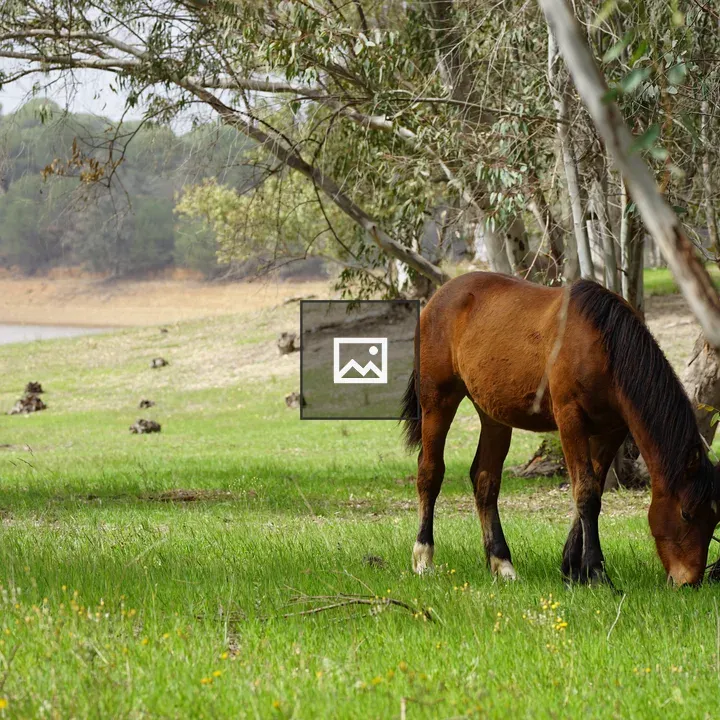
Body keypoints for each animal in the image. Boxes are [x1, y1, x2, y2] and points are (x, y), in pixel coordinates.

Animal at [401, 271, 719, 586]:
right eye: (686, 513)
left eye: (714, 519)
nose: (689, 581)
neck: (603, 345)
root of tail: (439, 297)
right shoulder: (570, 420)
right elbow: (586, 493)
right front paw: (596, 572)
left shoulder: (610, 431)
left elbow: (593, 490)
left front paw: (572, 569)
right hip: (437, 403)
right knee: (430, 472)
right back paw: (423, 558)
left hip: (493, 416)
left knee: (485, 481)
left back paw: (502, 563)